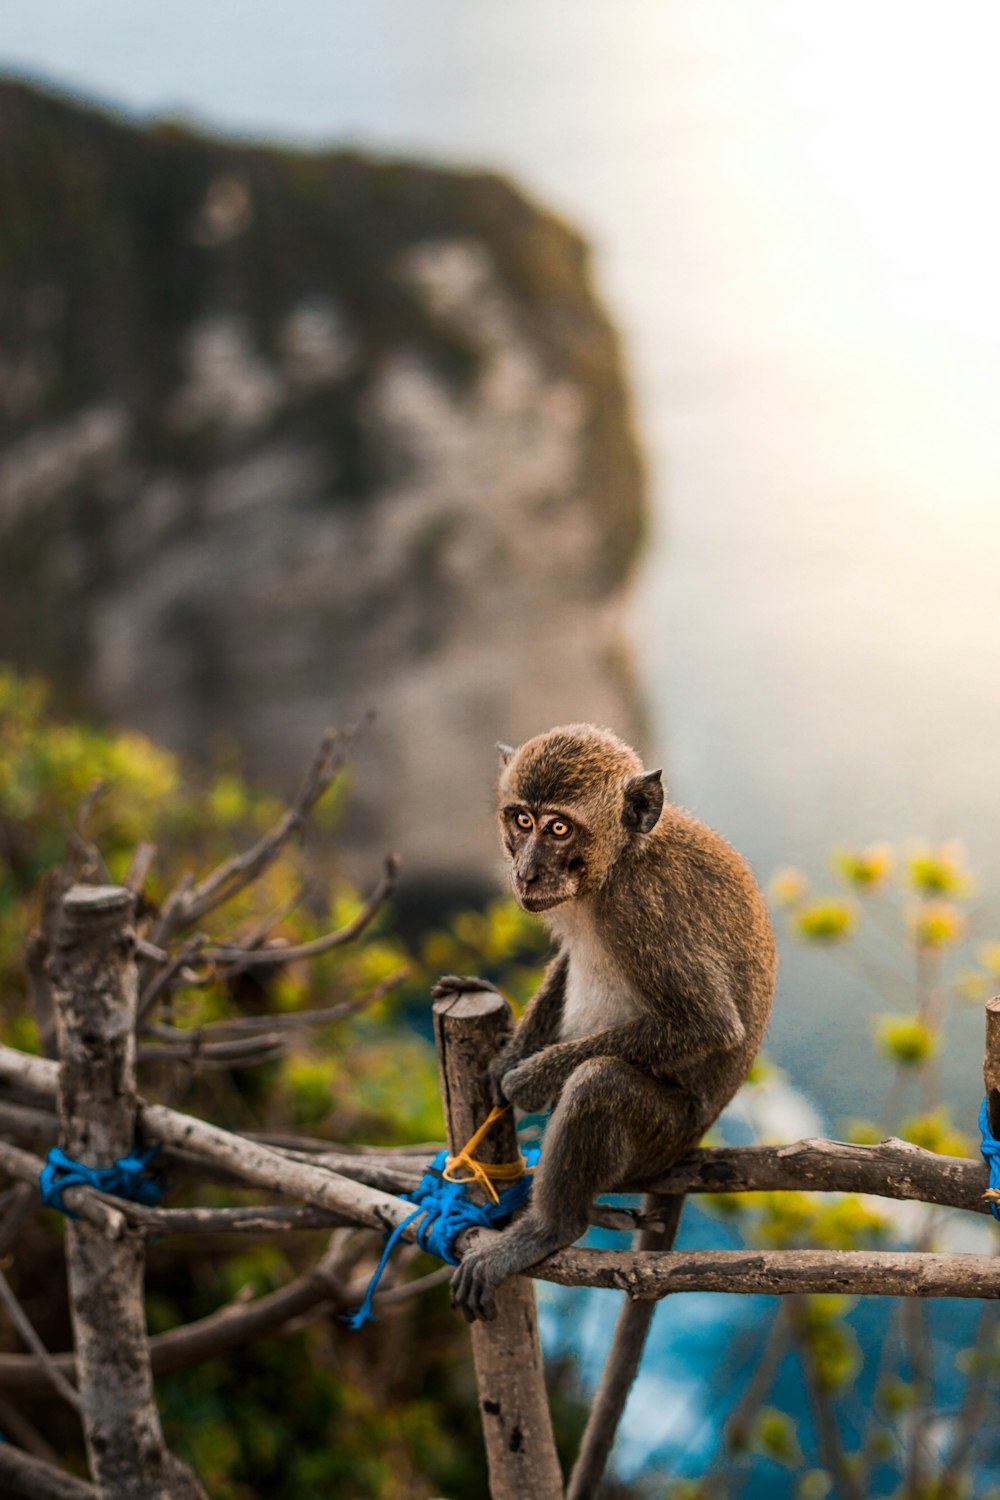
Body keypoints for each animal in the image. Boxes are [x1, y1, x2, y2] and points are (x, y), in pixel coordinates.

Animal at [434, 726, 779, 1326]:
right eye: (522, 820)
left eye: (559, 828)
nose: (526, 872)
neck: (617, 865)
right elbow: (568, 960)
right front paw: (508, 1060)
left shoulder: (645, 911)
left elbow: (707, 1024)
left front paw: (527, 1079)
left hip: (660, 1140)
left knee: (600, 1083)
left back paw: (553, 1226)